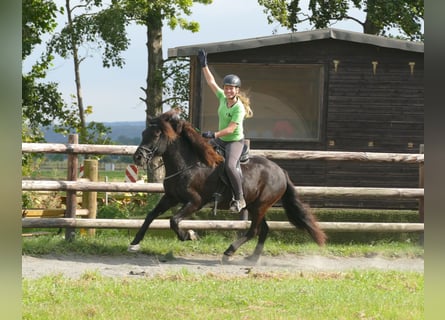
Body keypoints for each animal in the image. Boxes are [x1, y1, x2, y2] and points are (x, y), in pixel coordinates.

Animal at [126, 109, 324, 262]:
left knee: (253, 230)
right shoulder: (171, 198)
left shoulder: (195, 202)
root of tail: (281, 171)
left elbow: (173, 220)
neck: (187, 165)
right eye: (143, 133)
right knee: (264, 229)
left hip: (261, 205)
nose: (138, 157)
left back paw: (229, 252)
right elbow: (151, 216)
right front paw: (135, 243)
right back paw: (253, 258)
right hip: (255, 205)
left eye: (156, 135)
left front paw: (189, 235)